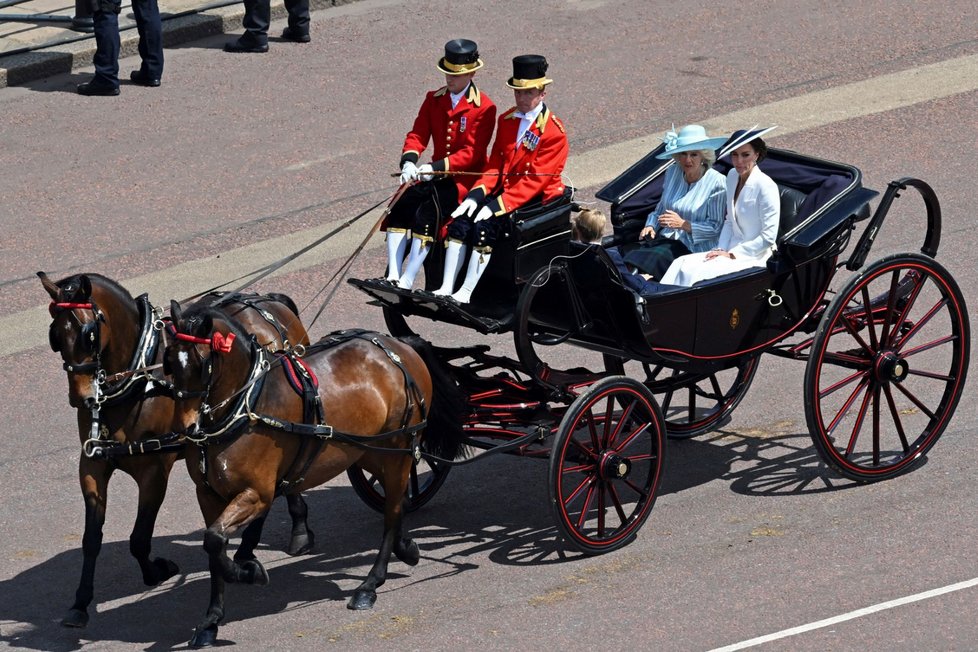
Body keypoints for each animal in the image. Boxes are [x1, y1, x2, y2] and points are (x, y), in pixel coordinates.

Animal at [41, 272, 312, 628]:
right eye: (55, 336)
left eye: (89, 334)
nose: (82, 398)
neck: (139, 379)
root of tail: (266, 300)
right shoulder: (92, 465)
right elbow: (91, 539)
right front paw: (80, 603)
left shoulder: (153, 470)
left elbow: (139, 538)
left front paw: (156, 571)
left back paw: (293, 531)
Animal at [165, 300, 466, 648]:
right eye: (168, 361)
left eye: (201, 363)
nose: (186, 429)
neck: (247, 405)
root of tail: (399, 346)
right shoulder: (208, 495)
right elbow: (213, 548)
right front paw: (211, 621)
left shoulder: (257, 493)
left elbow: (215, 540)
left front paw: (248, 571)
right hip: (368, 453)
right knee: (399, 502)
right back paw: (406, 547)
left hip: (399, 450)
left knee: (392, 513)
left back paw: (370, 584)